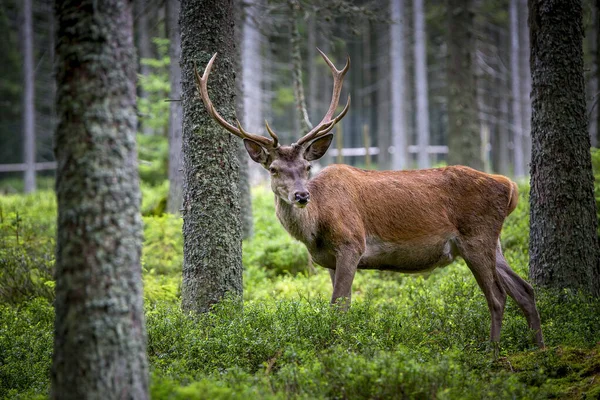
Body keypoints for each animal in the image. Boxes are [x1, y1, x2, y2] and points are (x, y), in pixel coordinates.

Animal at [193, 50, 544, 354]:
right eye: (274, 169)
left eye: (306, 167)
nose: (301, 196)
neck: (315, 230)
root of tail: (509, 186)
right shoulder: (328, 261)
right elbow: (340, 305)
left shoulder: (352, 243)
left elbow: (339, 307)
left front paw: (336, 350)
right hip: (494, 241)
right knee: (525, 289)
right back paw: (538, 347)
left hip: (476, 236)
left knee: (497, 296)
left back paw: (493, 351)